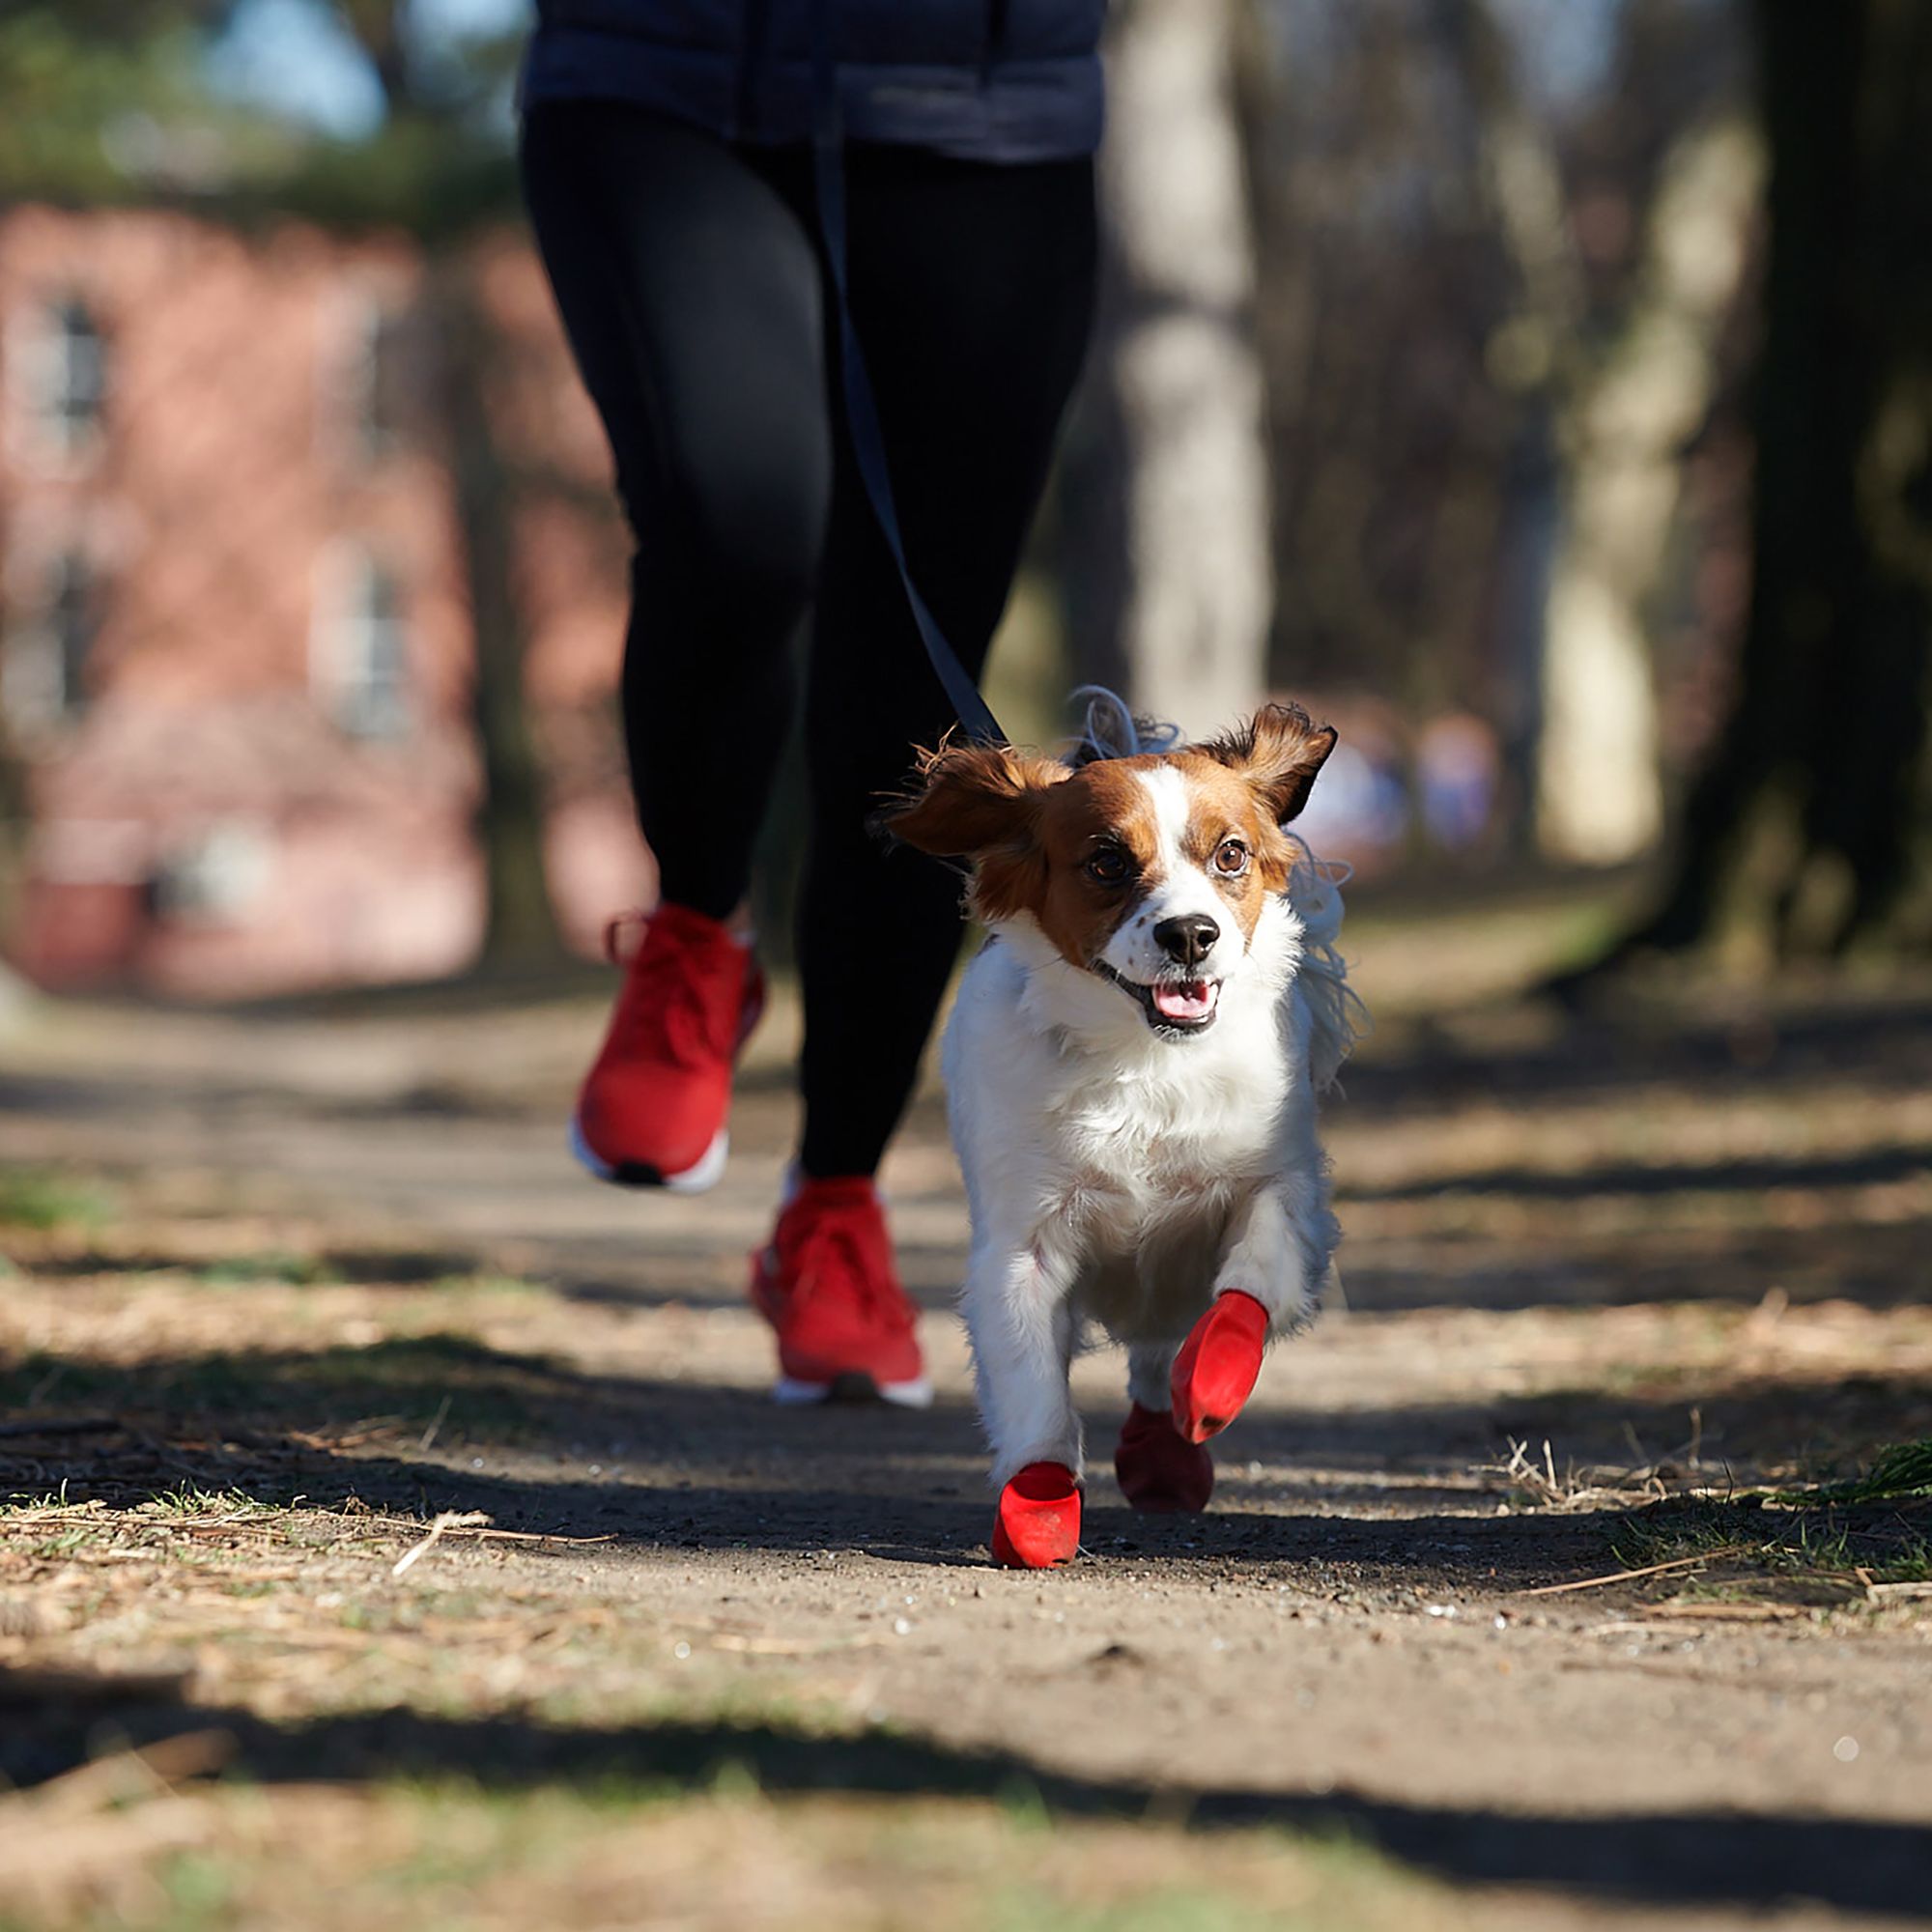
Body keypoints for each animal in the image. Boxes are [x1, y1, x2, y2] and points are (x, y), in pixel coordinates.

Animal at [885, 696, 1368, 1569]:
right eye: (1108, 862)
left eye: (1232, 853)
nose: (1190, 935)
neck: (1146, 1063)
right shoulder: (1023, 1248)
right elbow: (1034, 1391)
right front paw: (1039, 1500)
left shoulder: (1281, 1185)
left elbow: (1253, 1279)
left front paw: (1213, 1379)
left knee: (1157, 1353)